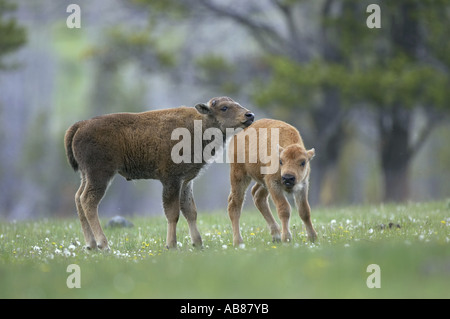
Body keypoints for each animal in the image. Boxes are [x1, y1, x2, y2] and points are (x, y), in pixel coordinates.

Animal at [63, 96, 255, 251]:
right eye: (224, 108)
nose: (249, 115)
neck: (199, 124)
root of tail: (81, 125)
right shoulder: (171, 180)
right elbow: (173, 213)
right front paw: (171, 245)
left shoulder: (186, 181)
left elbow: (190, 210)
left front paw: (198, 243)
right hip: (100, 175)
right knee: (88, 201)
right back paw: (103, 244)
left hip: (86, 175)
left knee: (78, 198)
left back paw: (91, 245)